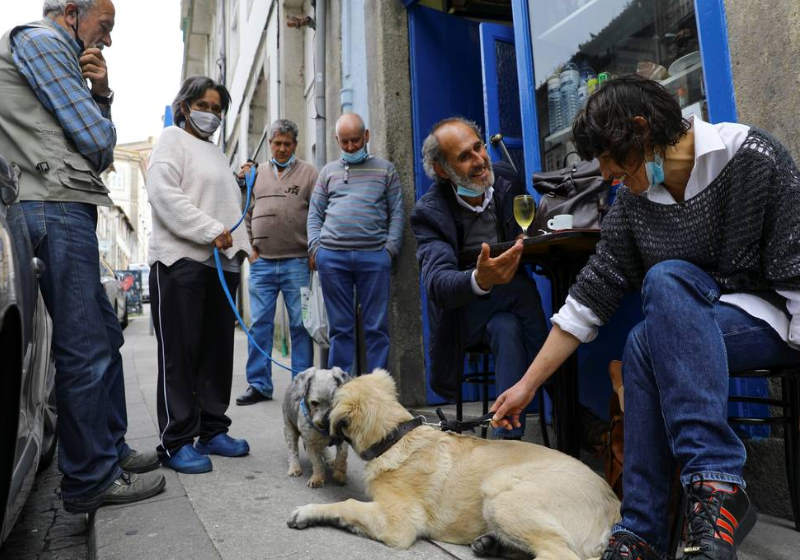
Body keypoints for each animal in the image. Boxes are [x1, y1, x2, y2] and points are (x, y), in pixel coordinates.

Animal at [290, 370, 620, 556]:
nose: (313, 423)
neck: (395, 436)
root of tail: (614, 504)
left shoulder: (398, 524)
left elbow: (347, 505)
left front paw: (307, 512)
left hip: (500, 491)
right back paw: (490, 544)